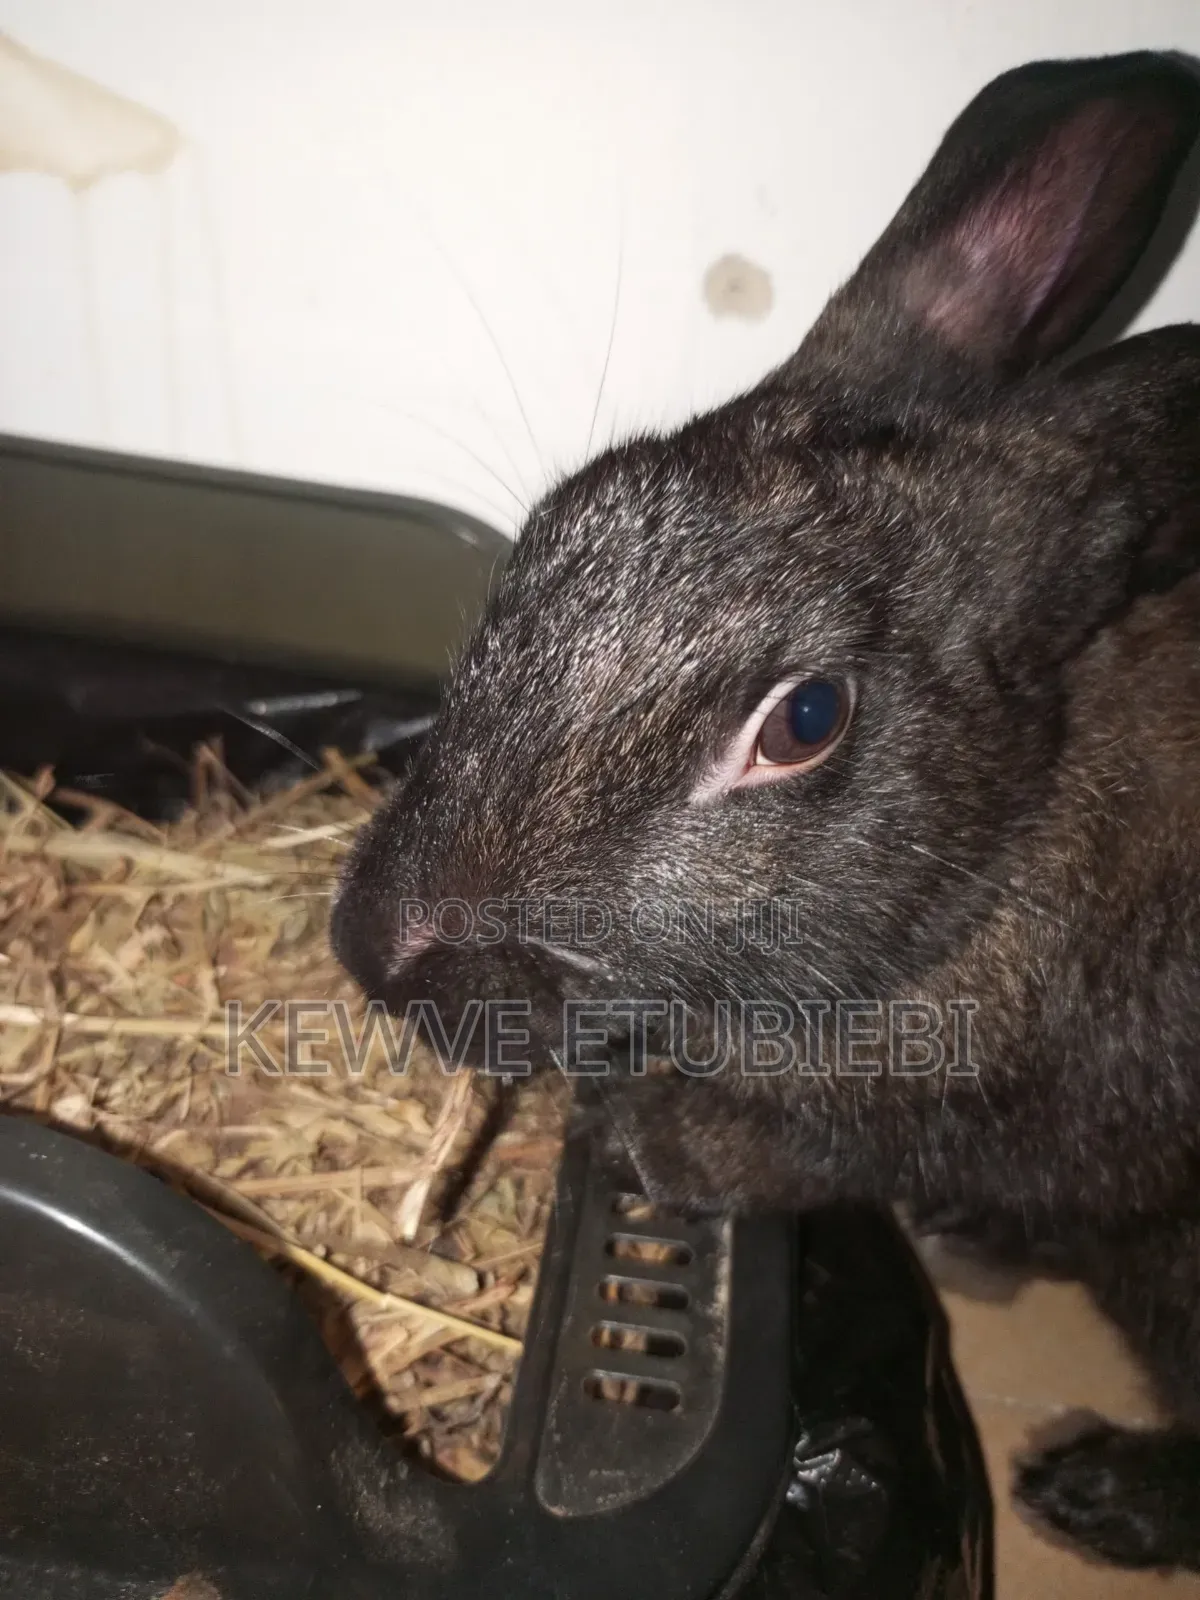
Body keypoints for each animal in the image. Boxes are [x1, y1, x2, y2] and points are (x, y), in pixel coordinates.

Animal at [332, 51, 1200, 1572]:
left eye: (805, 723)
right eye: (561, 520)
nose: (372, 950)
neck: (998, 846)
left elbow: (810, 1142)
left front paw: (640, 1140)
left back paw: (1090, 1490)